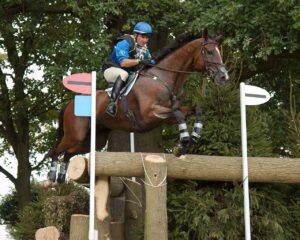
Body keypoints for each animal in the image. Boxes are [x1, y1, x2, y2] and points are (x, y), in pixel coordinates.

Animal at [44, 29, 229, 183]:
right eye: (209, 52)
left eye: (219, 52)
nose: (223, 77)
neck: (164, 79)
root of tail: (70, 103)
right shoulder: (150, 115)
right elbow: (178, 114)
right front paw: (183, 143)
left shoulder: (165, 118)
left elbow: (195, 110)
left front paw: (193, 137)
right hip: (75, 135)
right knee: (56, 151)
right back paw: (50, 178)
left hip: (94, 139)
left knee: (68, 153)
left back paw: (60, 178)